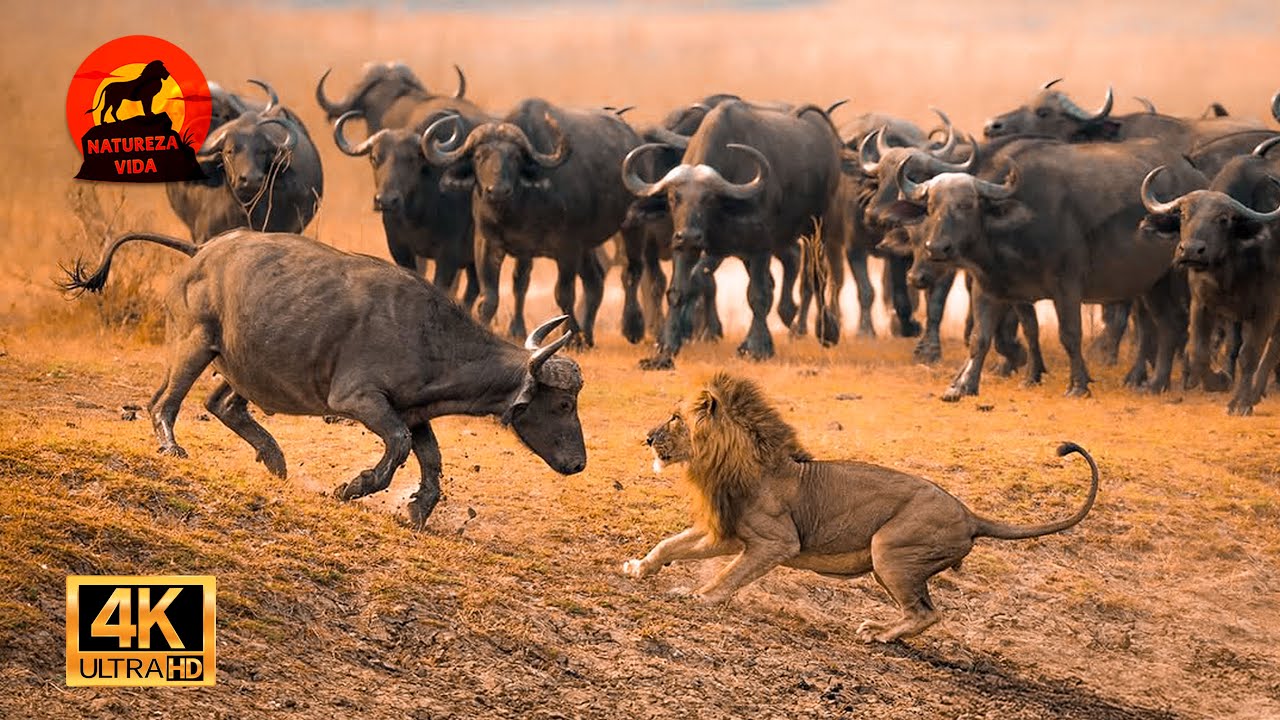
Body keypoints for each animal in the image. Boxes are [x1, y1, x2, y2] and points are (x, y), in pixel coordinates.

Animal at [60, 230, 586, 526]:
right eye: (563, 404)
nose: (579, 463)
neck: (429, 334)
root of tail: (203, 249)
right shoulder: (360, 400)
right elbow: (397, 446)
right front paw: (353, 487)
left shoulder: (414, 411)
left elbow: (431, 459)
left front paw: (417, 510)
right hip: (194, 343)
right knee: (163, 402)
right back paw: (172, 447)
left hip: (246, 363)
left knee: (221, 404)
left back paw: (274, 461)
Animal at [622, 372, 1099, 643]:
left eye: (675, 418)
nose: (645, 438)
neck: (731, 464)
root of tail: (969, 514)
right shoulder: (728, 532)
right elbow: (670, 545)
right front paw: (638, 568)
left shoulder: (776, 542)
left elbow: (729, 575)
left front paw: (699, 596)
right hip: (891, 562)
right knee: (922, 609)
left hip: (889, 550)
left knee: (926, 612)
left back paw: (878, 635)